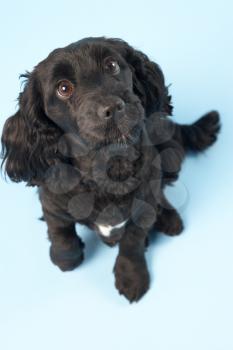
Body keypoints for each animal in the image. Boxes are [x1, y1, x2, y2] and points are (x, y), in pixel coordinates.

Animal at [0, 37, 220, 302]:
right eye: (63, 88)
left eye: (112, 65)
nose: (113, 107)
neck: (108, 167)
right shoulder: (51, 201)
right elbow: (60, 231)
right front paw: (66, 258)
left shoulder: (142, 208)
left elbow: (132, 241)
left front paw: (131, 276)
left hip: (170, 154)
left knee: (163, 186)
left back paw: (168, 218)